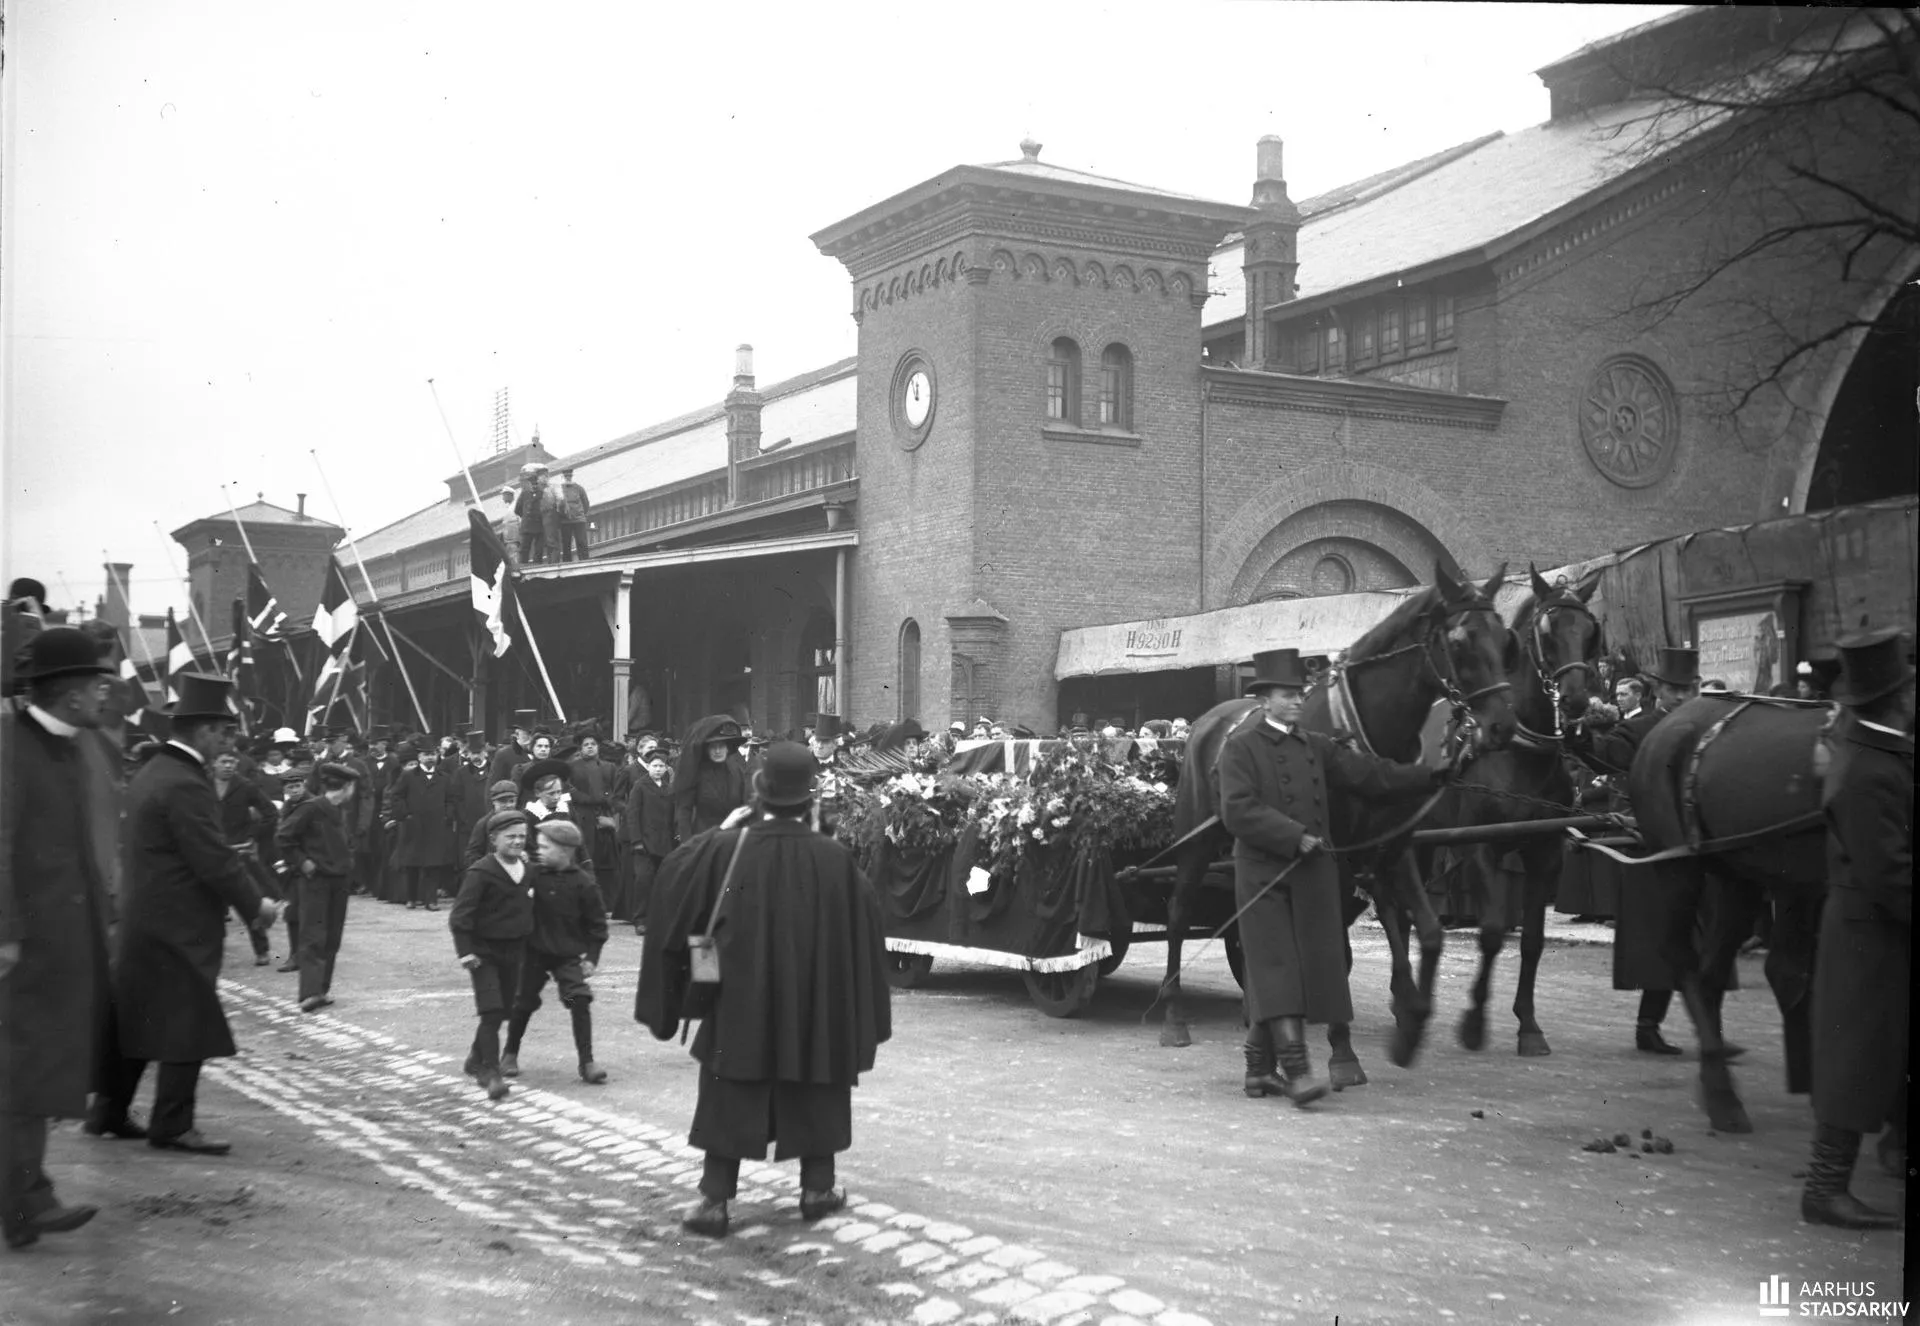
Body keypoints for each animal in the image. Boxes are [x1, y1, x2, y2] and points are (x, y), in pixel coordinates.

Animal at [1152, 560, 1512, 1082]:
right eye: (1462, 639)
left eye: (1506, 638)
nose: (1501, 725)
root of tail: (1207, 721)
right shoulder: (1334, 856)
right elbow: (1335, 948)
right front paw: (1343, 1051)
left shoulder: (1394, 848)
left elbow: (1426, 931)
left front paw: (1411, 1026)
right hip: (1195, 841)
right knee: (1179, 914)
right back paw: (1174, 1015)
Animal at [1443, 568, 1605, 1059]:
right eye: (1547, 634)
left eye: (1589, 631)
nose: (1575, 700)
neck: (1519, 752)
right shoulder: (1480, 848)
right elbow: (1494, 931)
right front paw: (1474, 1022)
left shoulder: (1545, 853)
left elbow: (1531, 941)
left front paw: (1529, 1026)